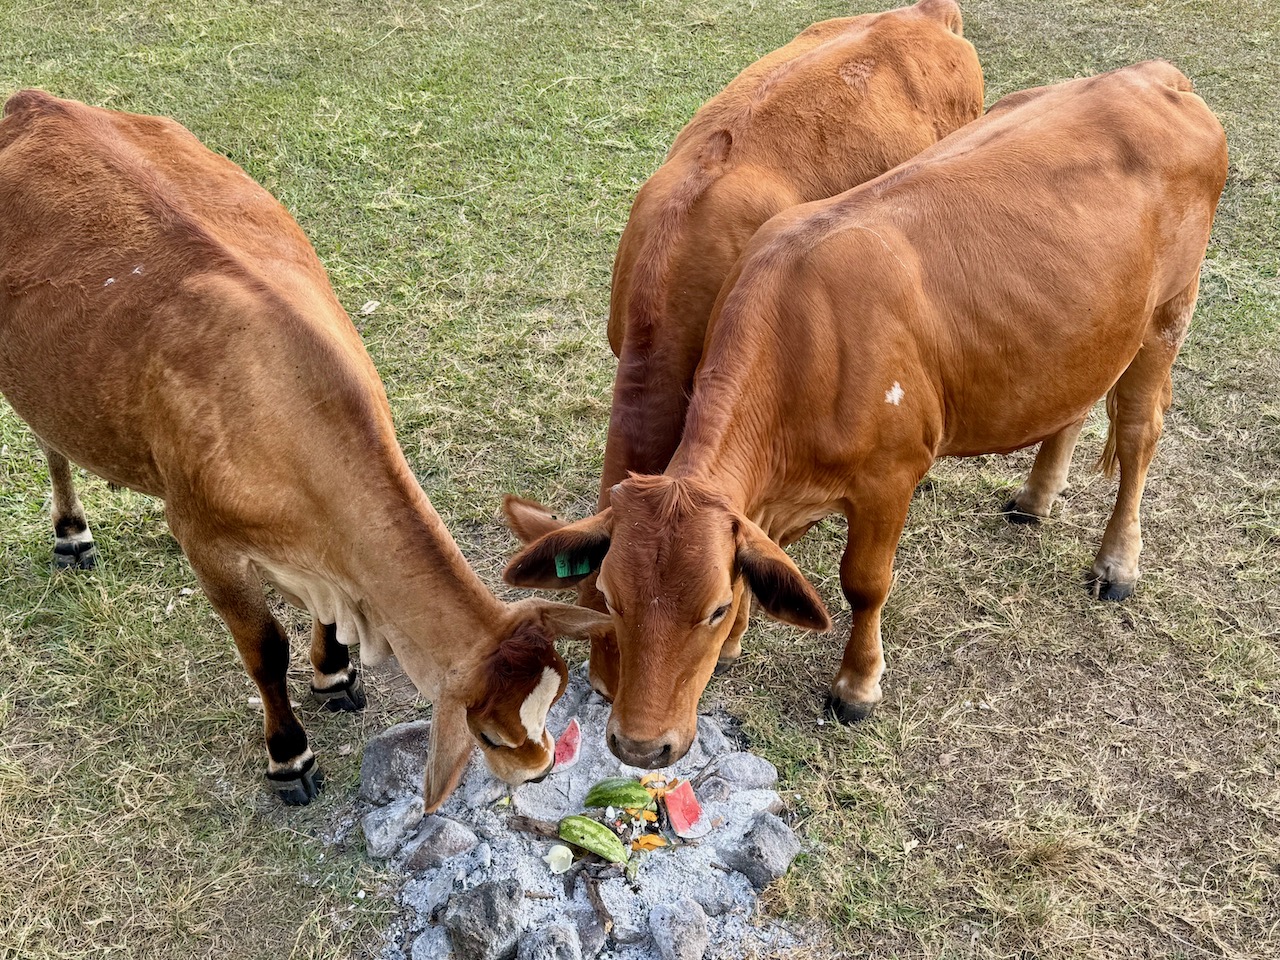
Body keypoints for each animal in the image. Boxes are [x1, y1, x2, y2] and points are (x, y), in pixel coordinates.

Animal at [0, 90, 610, 810]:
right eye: (487, 732)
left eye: (556, 695)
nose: (539, 769)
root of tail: (37, 101)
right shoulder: (206, 540)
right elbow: (265, 649)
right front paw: (289, 755)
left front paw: (335, 674)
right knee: (49, 443)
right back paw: (71, 533)